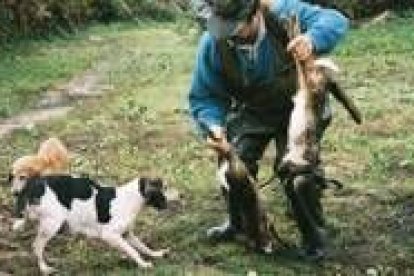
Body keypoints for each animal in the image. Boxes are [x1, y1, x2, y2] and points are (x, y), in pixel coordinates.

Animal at [11, 175, 170, 274]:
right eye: (161, 193)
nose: (167, 205)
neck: (130, 199)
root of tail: (32, 184)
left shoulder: (127, 234)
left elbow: (143, 247)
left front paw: (156, 254)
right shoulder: (110, 235)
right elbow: (133, 251)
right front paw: (143, 265)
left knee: (29, 227)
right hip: (52, 225)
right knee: (36, 246)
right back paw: (44, 268)